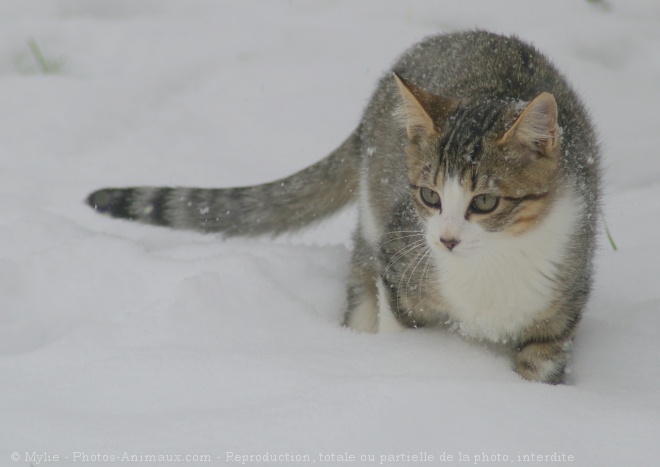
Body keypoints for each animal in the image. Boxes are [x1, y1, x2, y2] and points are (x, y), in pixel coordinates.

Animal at [86, 31, 600, 386]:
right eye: (429, 196)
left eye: (486, 201)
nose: (446, 239)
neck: (491, 268)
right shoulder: (400, 257)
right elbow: (399, 325)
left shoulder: (562, 305)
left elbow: (540, 365)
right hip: (375, 220)